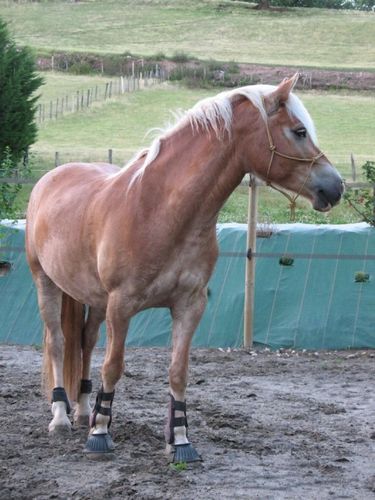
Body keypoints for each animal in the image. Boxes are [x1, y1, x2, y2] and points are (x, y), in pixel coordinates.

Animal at [25, 73, 344, 460]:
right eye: (299, 131)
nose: (336, 187)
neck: (159, 210)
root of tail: (51, 178)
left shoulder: (189, 305)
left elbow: (178, 371)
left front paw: (179, 440)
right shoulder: (121, 305)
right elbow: (113, 367)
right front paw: (100, 433)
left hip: (94, 299)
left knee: (85, 342)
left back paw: (85, 409)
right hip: (46, 282)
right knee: (57, 342)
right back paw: (61, 416)